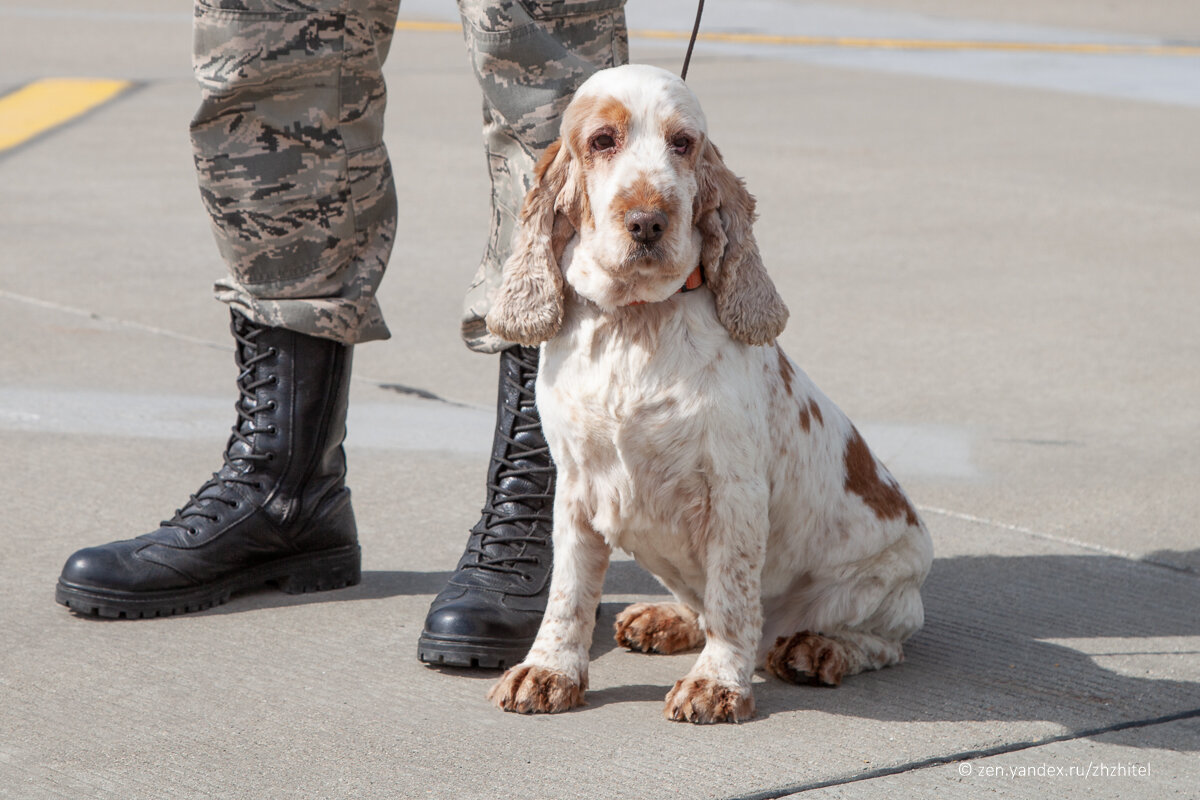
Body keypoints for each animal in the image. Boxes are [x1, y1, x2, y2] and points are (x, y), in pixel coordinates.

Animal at [482, 65, 931, 724]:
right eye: (602, 141)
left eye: (683, 143)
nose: (648, 222)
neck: (636, 322)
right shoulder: (576, 488)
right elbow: (568, 594)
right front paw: (547, 672)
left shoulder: (735, 493)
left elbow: (733, 596)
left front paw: (717, 684)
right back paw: (664, 620)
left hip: (875, 587)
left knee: (880, 641)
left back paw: (818, 649)